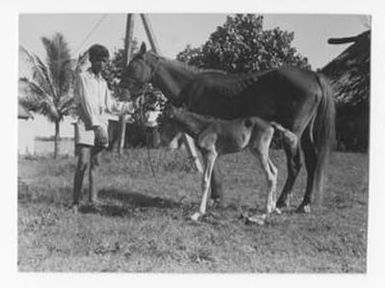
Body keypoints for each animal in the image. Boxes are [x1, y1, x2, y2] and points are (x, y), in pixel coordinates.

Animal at [162, 105, 296, 220]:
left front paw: (198, 213)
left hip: (260, 151)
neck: (202, 127)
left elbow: (205, 181)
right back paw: (274, 208)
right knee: (275, 170)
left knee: (270, 175)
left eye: (165, 119)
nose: (162, 138)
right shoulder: (206, 156)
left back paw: (266, 210)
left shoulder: (211, 154)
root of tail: (270, 124)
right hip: (259, 151)